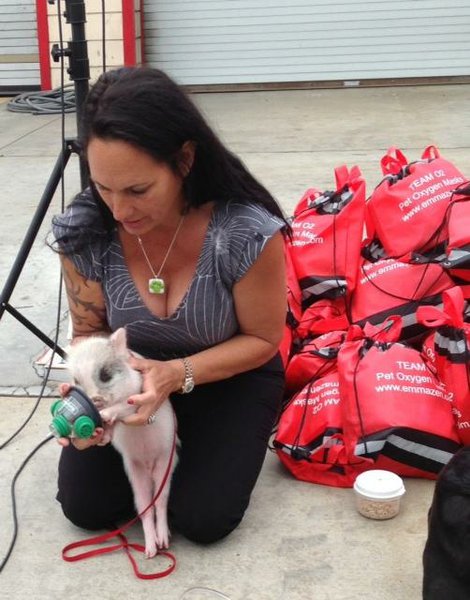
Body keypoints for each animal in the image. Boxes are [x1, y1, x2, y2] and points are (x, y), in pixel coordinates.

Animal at [65, 328, 177, 556]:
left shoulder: (136, 397)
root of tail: (149, 464)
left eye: (105, 375)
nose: (94, 401)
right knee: (144, 508)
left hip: (165, 465)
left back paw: (163, 543)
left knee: (160, 503)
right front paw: (103, 433)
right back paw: (150, 552)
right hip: (135, 474)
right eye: (76, 381)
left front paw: (104, 414)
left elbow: (123, 407)